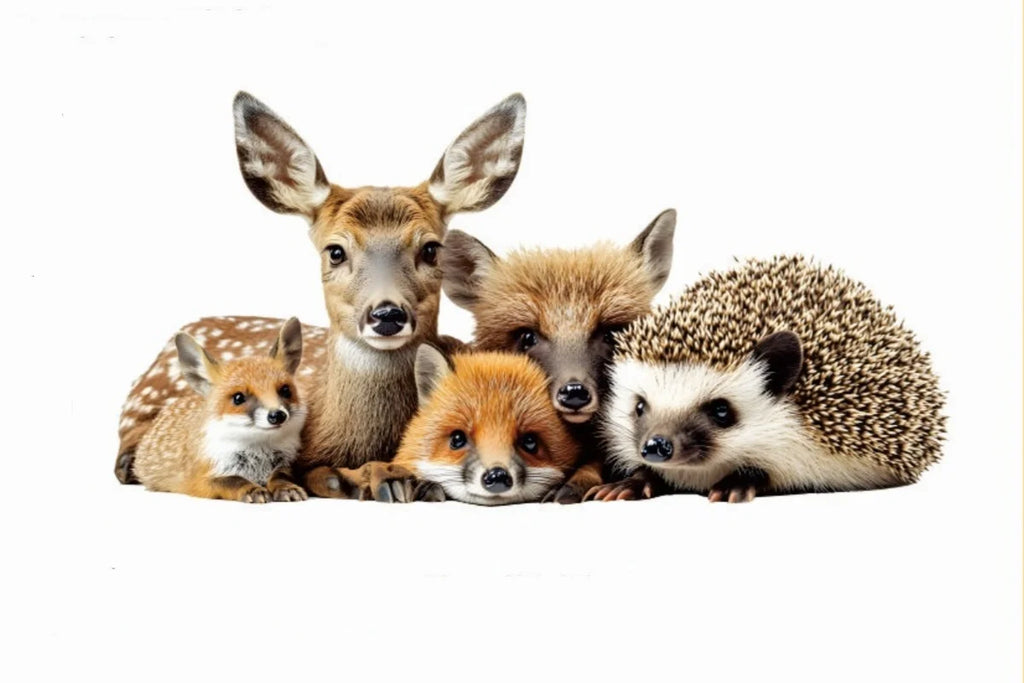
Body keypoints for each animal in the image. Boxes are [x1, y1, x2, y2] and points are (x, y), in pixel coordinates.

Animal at [132, 318, 308, 503]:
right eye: (238, 398)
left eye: (285, 390)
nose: (277, 415)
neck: (258, 454)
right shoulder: (202, 480)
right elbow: (233, 480)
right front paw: (252, 489)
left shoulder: (286, 464)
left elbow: (280, 477)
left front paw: (286, 487)